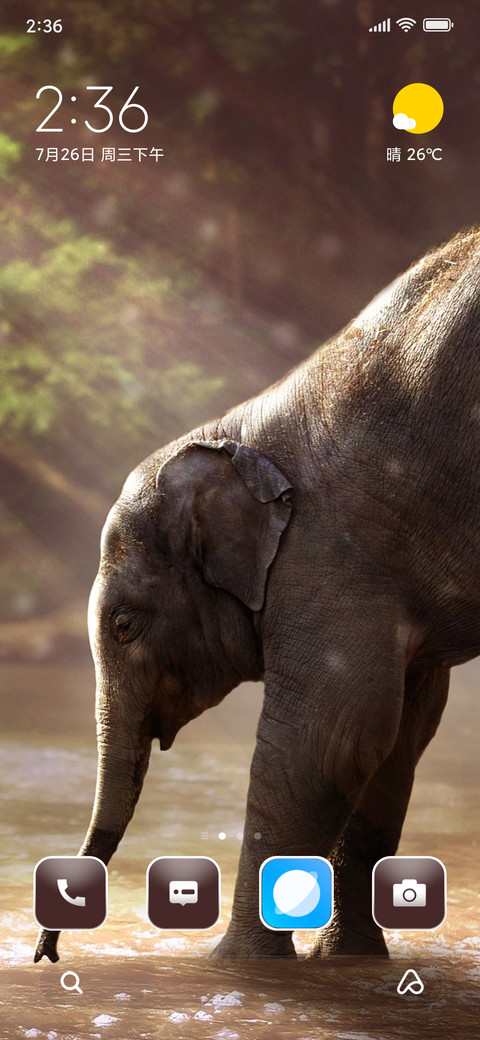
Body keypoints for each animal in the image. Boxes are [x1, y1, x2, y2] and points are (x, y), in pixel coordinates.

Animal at [35, 226, 480, 963]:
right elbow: (397, 739)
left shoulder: (334, 553)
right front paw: (346, 963)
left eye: (124, 625)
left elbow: (332, 735)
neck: (238, 434)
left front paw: (235, 968)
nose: (45, 954)